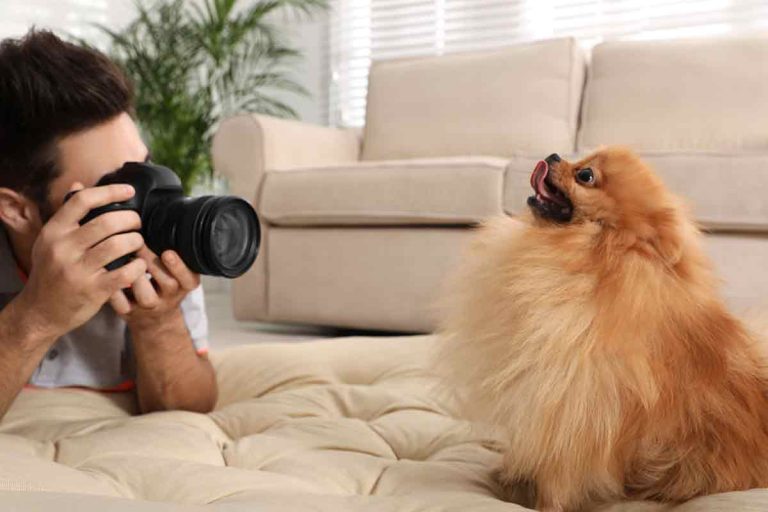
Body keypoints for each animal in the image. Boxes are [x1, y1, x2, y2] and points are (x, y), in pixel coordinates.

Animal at [436, 146, 768, 510]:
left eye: (585, 175)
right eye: (580, 160)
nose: (553, 155)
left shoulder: (575, 400)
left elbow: (559, 467)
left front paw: (543, 502)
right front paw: (510, 474)